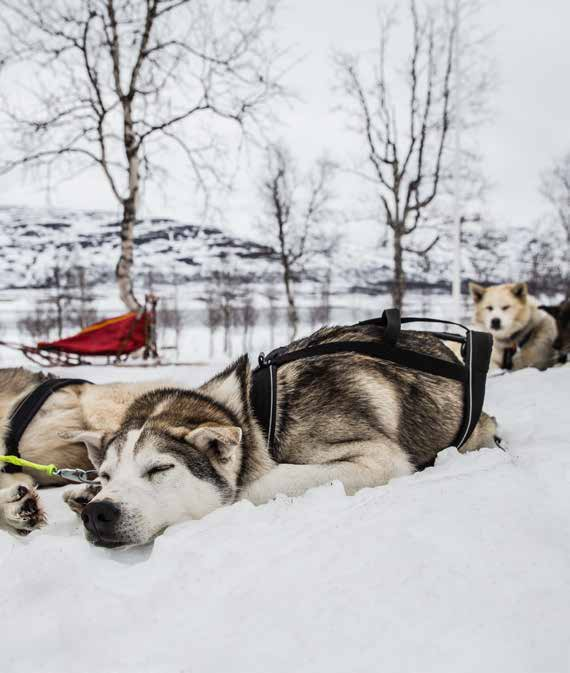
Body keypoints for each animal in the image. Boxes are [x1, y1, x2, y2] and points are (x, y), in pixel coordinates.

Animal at [63, 322, 496, 548]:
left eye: (159, 469)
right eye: (106, 476)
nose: (98, 511)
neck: (256, 416)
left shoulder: (379, 460)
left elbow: (257, 486)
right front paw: (81, 492)